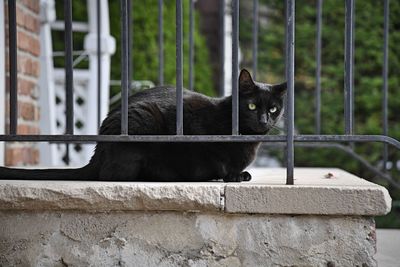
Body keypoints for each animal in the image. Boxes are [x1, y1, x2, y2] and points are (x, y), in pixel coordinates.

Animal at [0, 69, 284, 183]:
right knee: (112, 176)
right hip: (141, 123)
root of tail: (98, 153)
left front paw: (238, 173)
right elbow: (214, 161)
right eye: (251, 106)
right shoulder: (190, 122)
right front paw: (229, 175)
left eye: (273, 109)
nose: (263, 121)